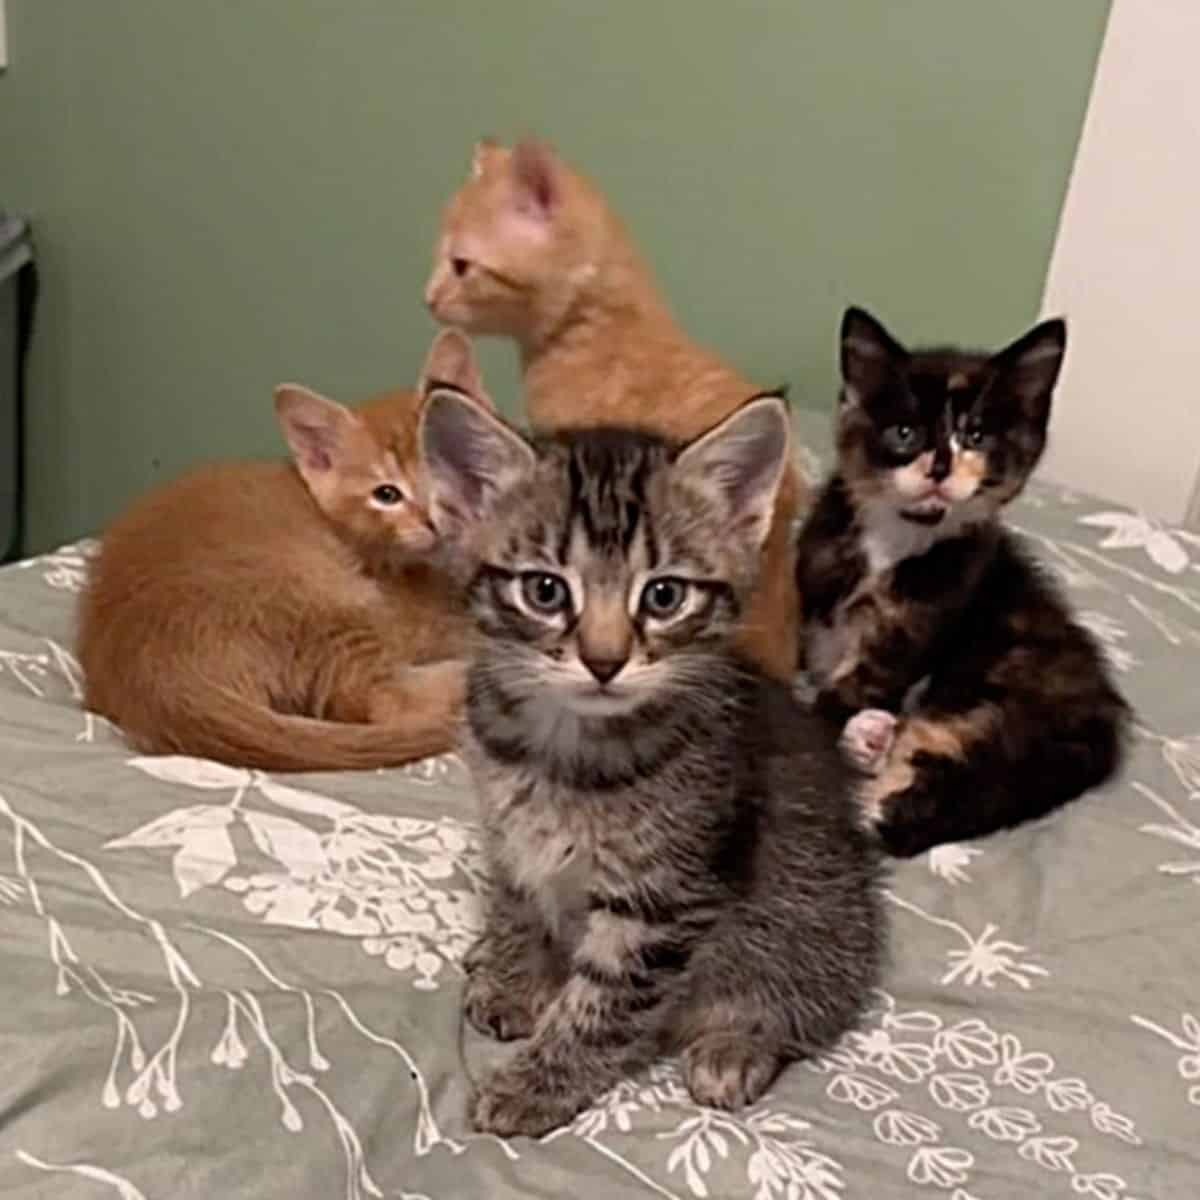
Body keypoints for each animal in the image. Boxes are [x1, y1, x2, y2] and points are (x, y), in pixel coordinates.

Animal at [420, 384, 883, 1132]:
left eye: (664, 595)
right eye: (545, 590)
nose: (605, 661)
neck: (564, 751)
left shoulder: (666, 896)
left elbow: (605, 1002)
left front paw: (537, 1084)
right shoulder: (508, 832)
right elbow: (516, 903)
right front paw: (515, 978)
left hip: (820, 922)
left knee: (799, 1000)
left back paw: (735, 1047)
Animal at [801, 307, 1128, 854]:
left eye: (976, 437)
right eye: (905, 433)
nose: (940, 466)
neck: (898, 536)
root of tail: (1099, 724)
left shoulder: (924, 620)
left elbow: (843, 694)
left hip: (993, 694)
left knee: (909, 805)